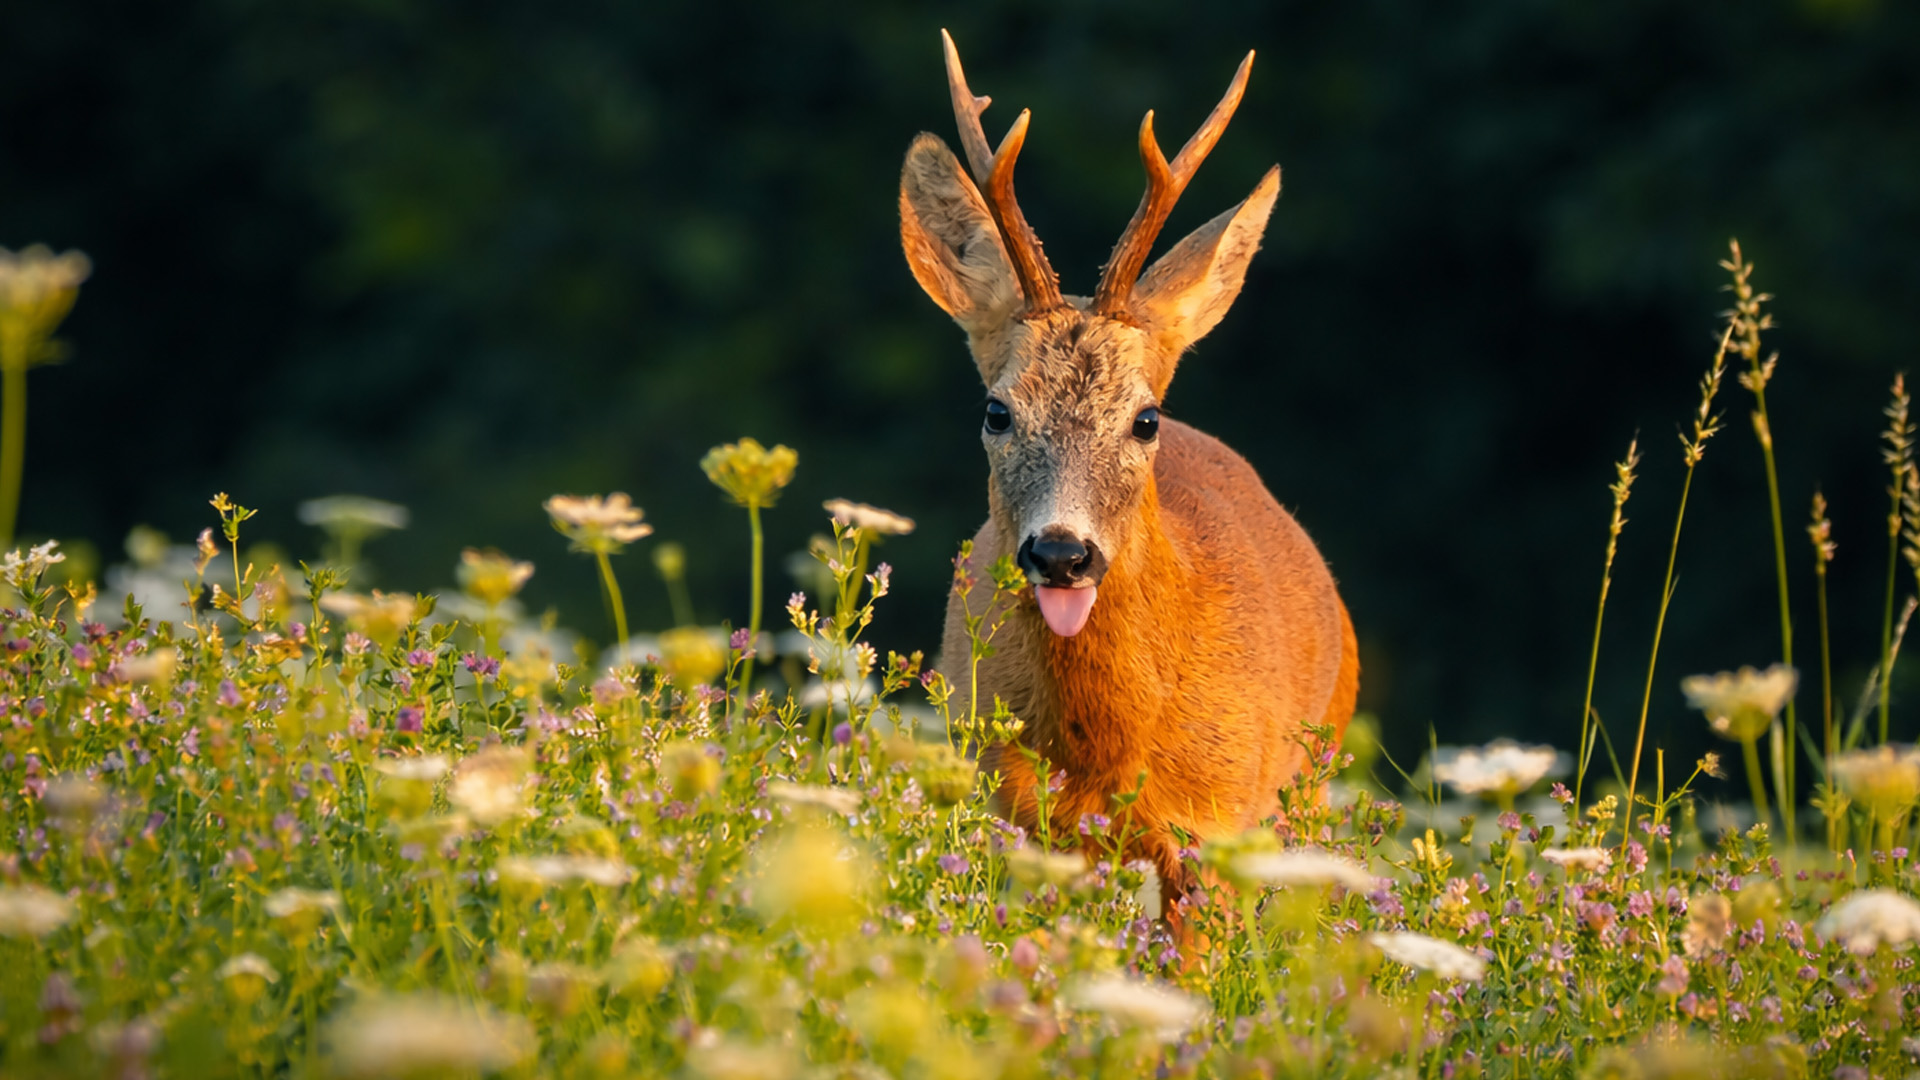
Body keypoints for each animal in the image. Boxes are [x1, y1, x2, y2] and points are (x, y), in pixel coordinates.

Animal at [899, 31, 1360, 915]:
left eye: (1145, 419)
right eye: (996, 411)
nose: (1061, 553)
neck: (1107, 746)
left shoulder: (1217, 826)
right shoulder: (1016, 817)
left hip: (1314, 777)